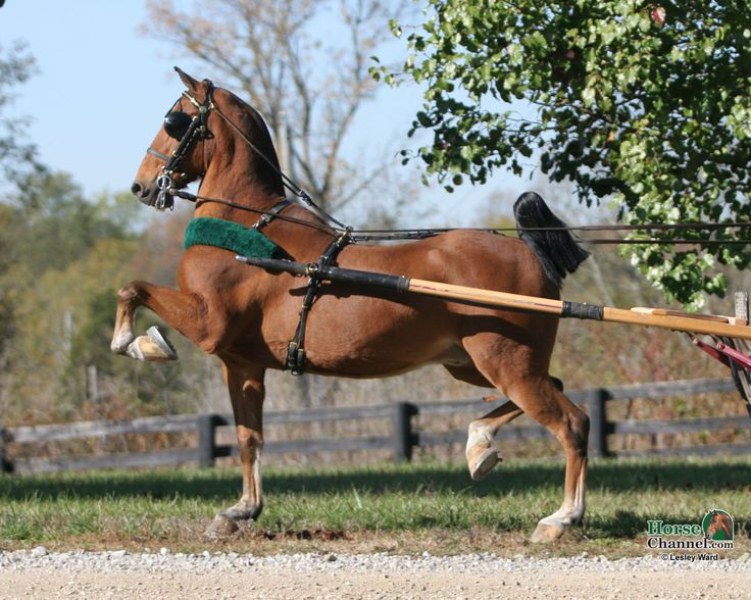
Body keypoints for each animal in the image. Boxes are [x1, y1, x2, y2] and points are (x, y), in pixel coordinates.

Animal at [111, 68, 592, 540]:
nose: (141, 184)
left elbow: (132, 290)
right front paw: (242, 510)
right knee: (557, 392)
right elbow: (250, 438)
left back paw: (561, 518)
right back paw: (480, 446)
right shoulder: (241, 362)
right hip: (473, 363)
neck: (249, 225)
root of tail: (529, 251)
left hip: (505, 364)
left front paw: (139, 343)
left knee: (572, 424)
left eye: (173, 120)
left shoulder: (208, 325)